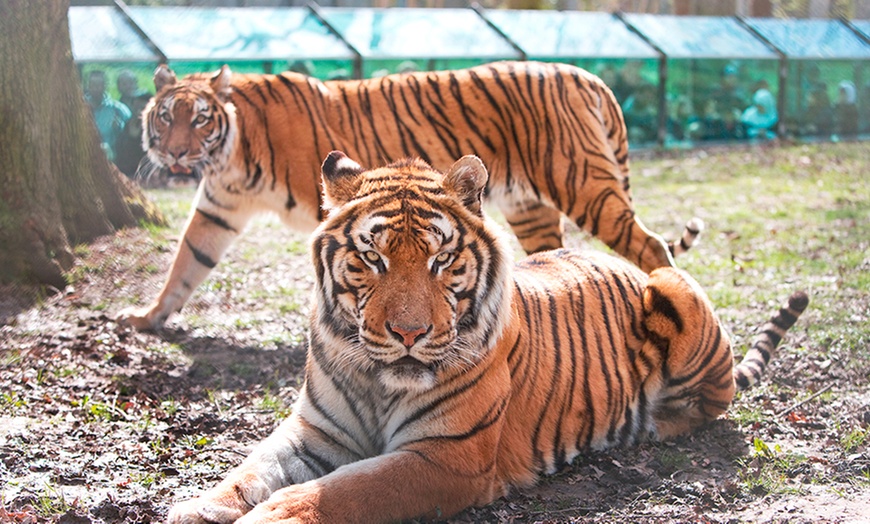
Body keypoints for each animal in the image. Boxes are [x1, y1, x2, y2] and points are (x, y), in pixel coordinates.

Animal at [117, 61, 700, 330]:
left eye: (199, 118)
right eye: (165, 117)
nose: (175, 154)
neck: (230, 158)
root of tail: (589, 76)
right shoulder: (216, 210)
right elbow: (185, 264)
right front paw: (147, 318)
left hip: (584, 184)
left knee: (650, 245)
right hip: (530, 206)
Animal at [169, 151, 812, 524]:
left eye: (440, 260)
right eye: (373, 258)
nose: (409, 333)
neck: (378, 380)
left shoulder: (447, 457)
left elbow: (345, 491)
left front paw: (272, 516)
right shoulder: (315, 433)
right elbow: (249, 470)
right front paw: (199, 506)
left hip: (672, 284)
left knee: (712, 401)